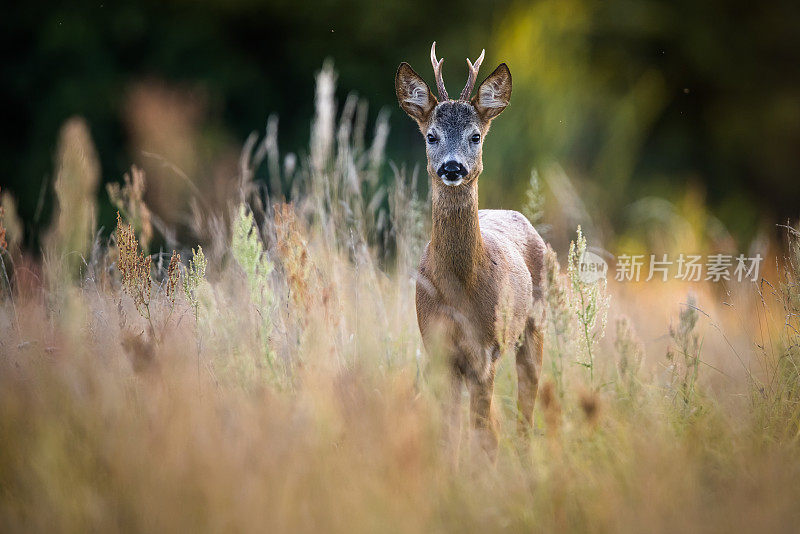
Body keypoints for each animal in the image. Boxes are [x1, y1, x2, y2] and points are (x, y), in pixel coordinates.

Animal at [396, 44, 548, 458]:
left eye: (475, 136)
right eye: (431, 136)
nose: (452, 167)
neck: (459, 287)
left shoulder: (485, 350)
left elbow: (481, 433)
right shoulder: (438, 348)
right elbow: (450, 433)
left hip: (534, 324)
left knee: (523, 408)